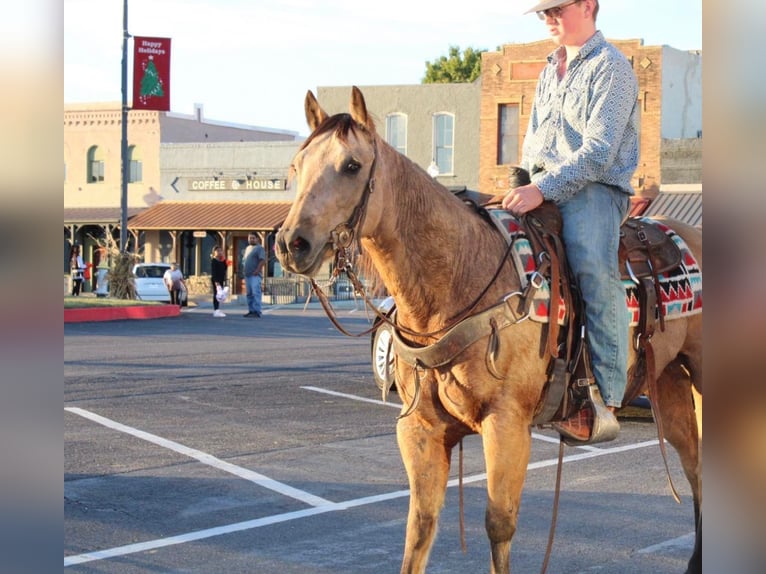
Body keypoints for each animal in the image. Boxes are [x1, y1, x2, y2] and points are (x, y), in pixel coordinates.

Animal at [276, 86, 704, 574]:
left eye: (351, 165)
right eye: (296, 166)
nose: (291, 244)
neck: (459, 278)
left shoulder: (507, 424)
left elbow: (499, 527)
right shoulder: (420, 429)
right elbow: (419, 528)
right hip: (669, 383)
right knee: (695, 469)